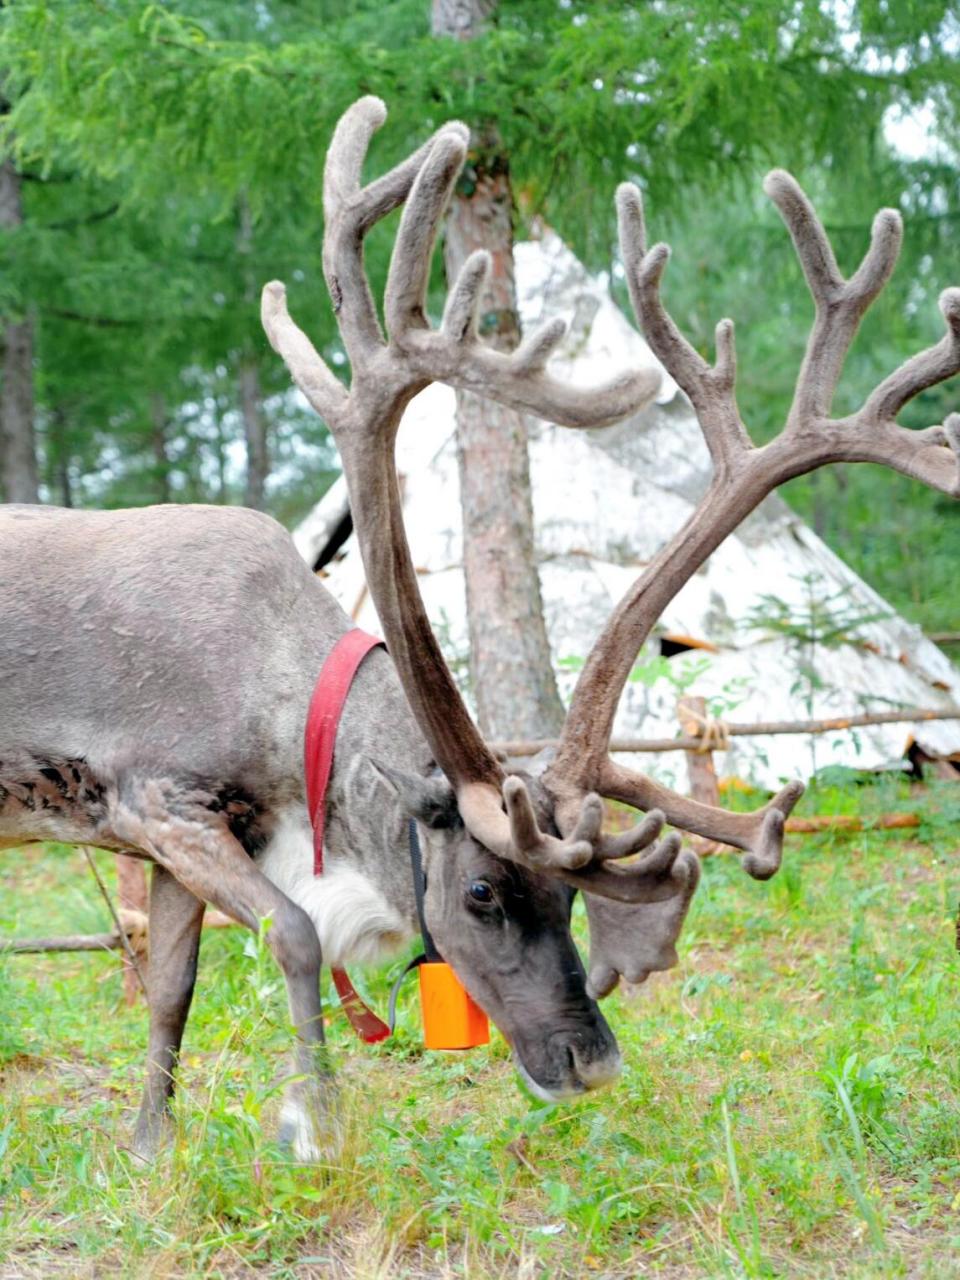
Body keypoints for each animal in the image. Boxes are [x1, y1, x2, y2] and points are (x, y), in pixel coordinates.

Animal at [3, 97, 958, 1163]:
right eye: (482, 894)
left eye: (572, 899)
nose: (594, 1063)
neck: (294, 715)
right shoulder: (160, 802)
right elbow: (293, 933)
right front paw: (312, 1121)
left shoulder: (187, 836)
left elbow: (172, 987)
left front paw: (149, 1149)